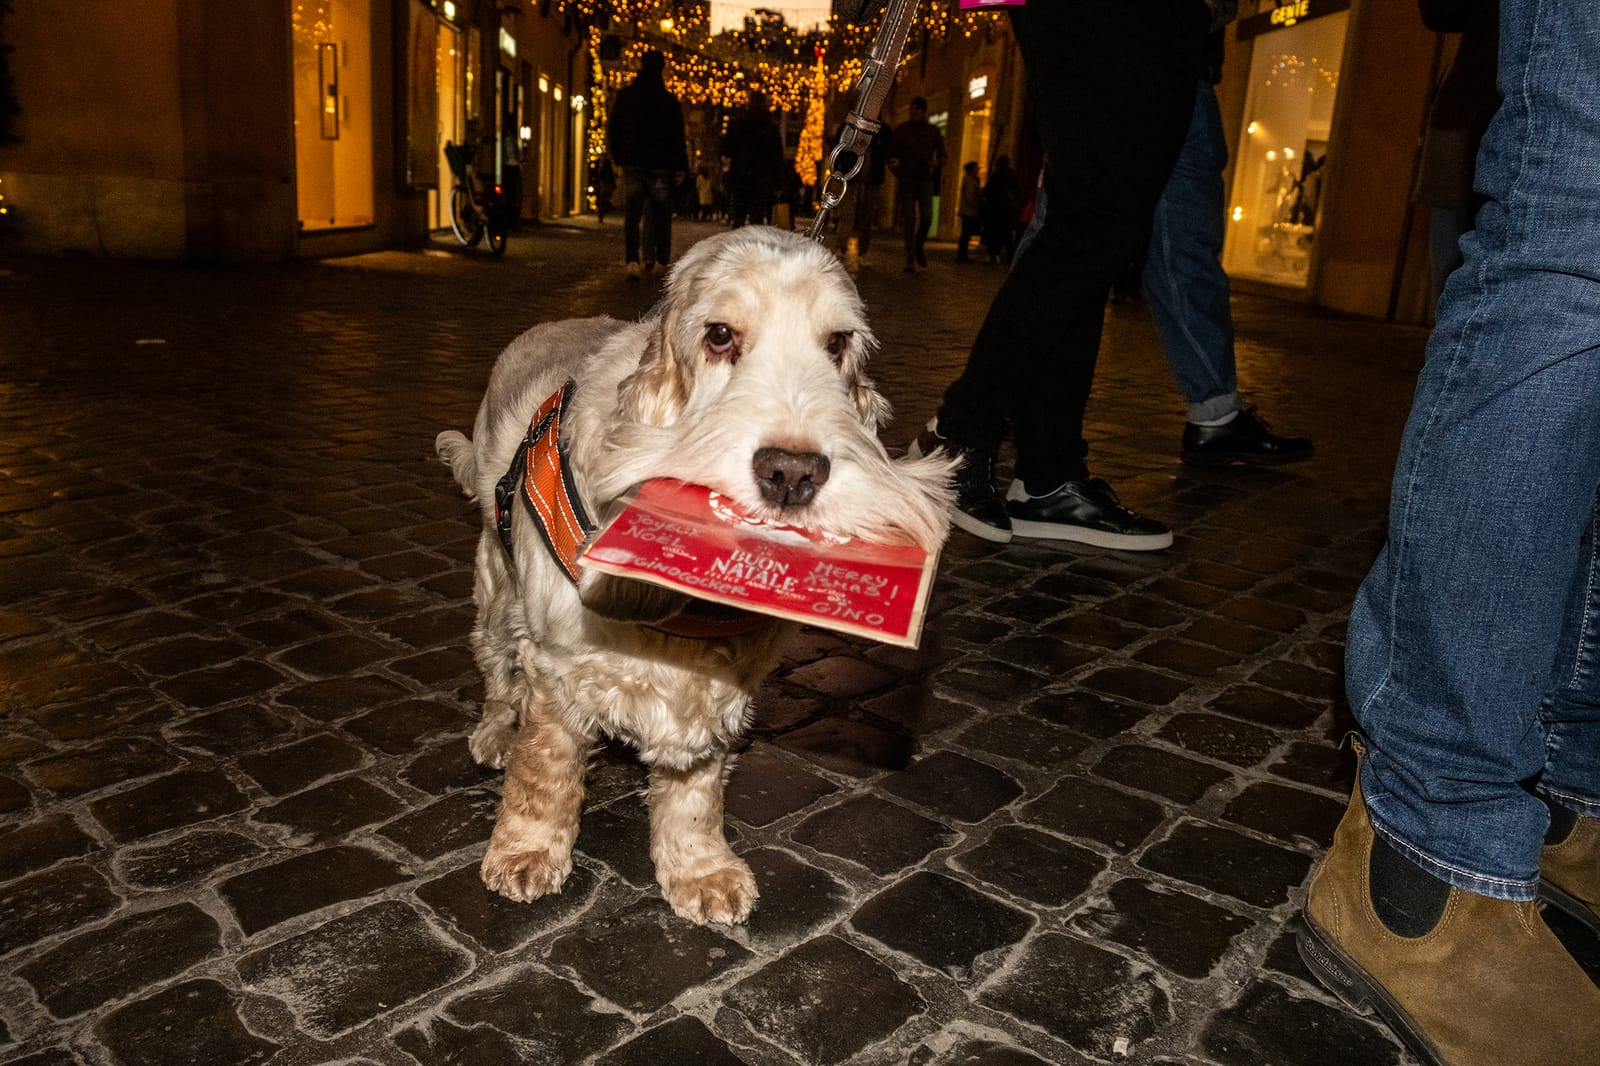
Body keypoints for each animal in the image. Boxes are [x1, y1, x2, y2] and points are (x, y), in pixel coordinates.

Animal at [435, 225, 947, 921]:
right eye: (721, 335)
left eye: (837, 344)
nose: (793, 473)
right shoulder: (556, 666)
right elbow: (545, 769)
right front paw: (526, 852)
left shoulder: (721, 687)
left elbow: (696, 793)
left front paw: (701, 870)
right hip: (495, 587)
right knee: (494, 670)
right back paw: (493, 732)